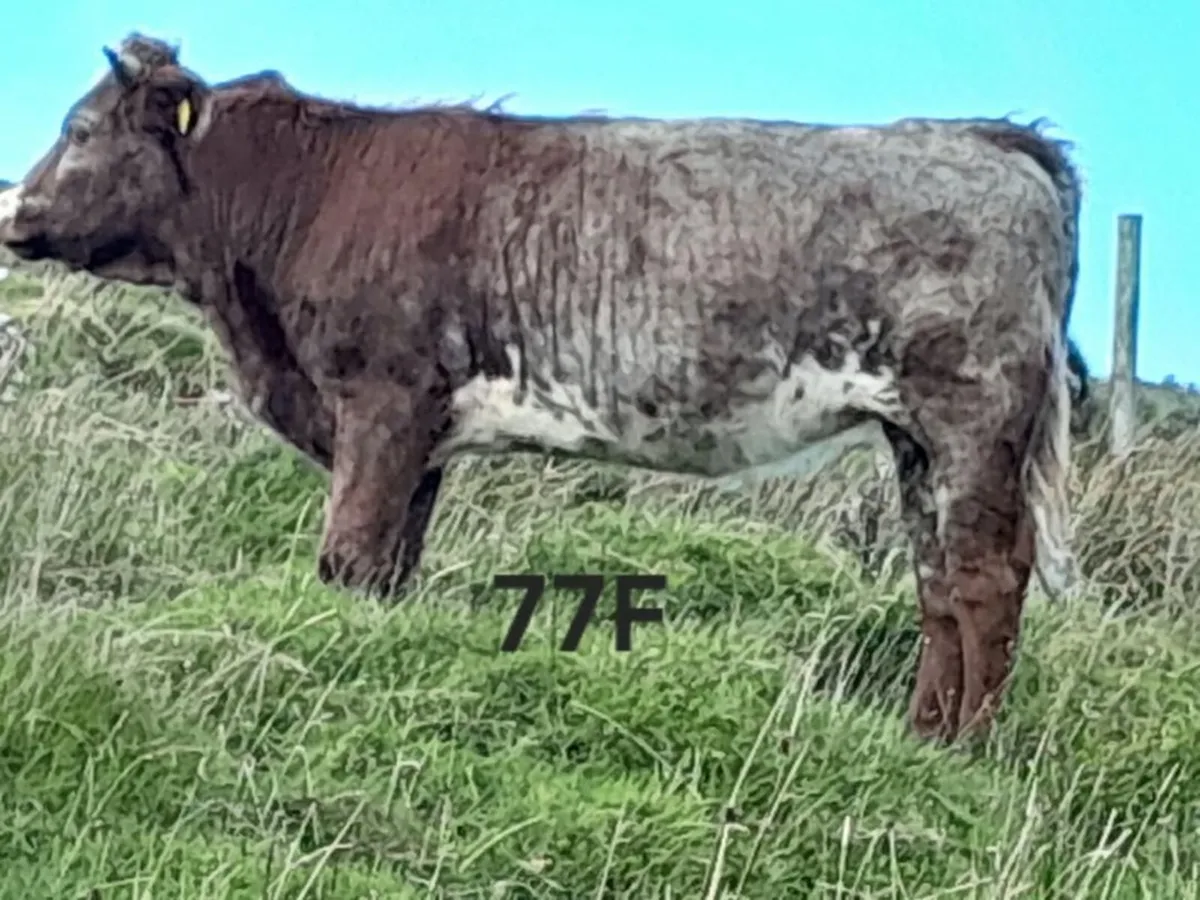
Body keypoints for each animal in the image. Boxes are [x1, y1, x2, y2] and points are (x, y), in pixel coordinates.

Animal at [0, 33, 1081, 745]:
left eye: (80, 128)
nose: (15, 215)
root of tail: (982, 139)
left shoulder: (382, 399)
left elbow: (346, 558)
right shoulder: (418, 437)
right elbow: (389, 566)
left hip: (973, 416)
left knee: (985, 579)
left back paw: (968, 749)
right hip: (915, 439)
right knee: (936, 580)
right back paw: (922, 737)